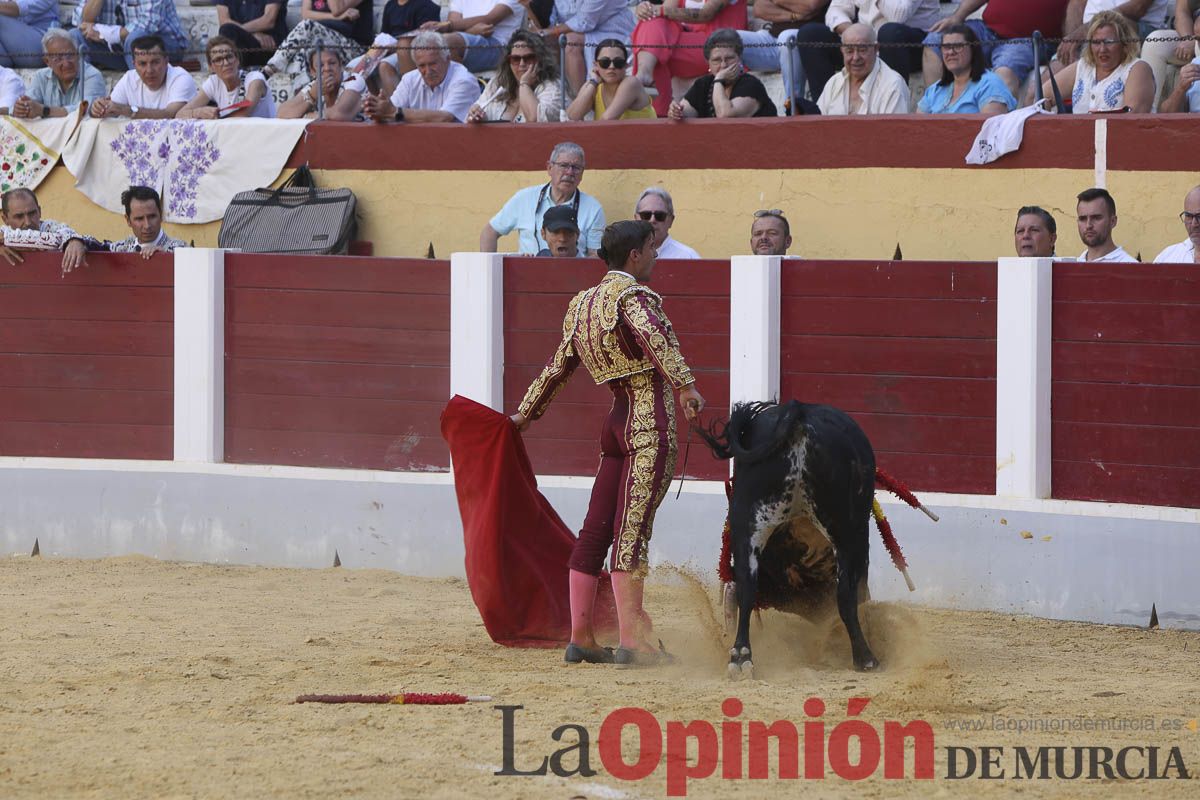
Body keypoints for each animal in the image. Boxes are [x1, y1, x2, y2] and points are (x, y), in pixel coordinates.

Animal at [696, 402, 883, 681]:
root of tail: (800, 413)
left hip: (748, 522)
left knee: (746, 587)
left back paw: (741, 656)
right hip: (845, 529)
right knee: (845, 595)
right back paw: (865, 658)